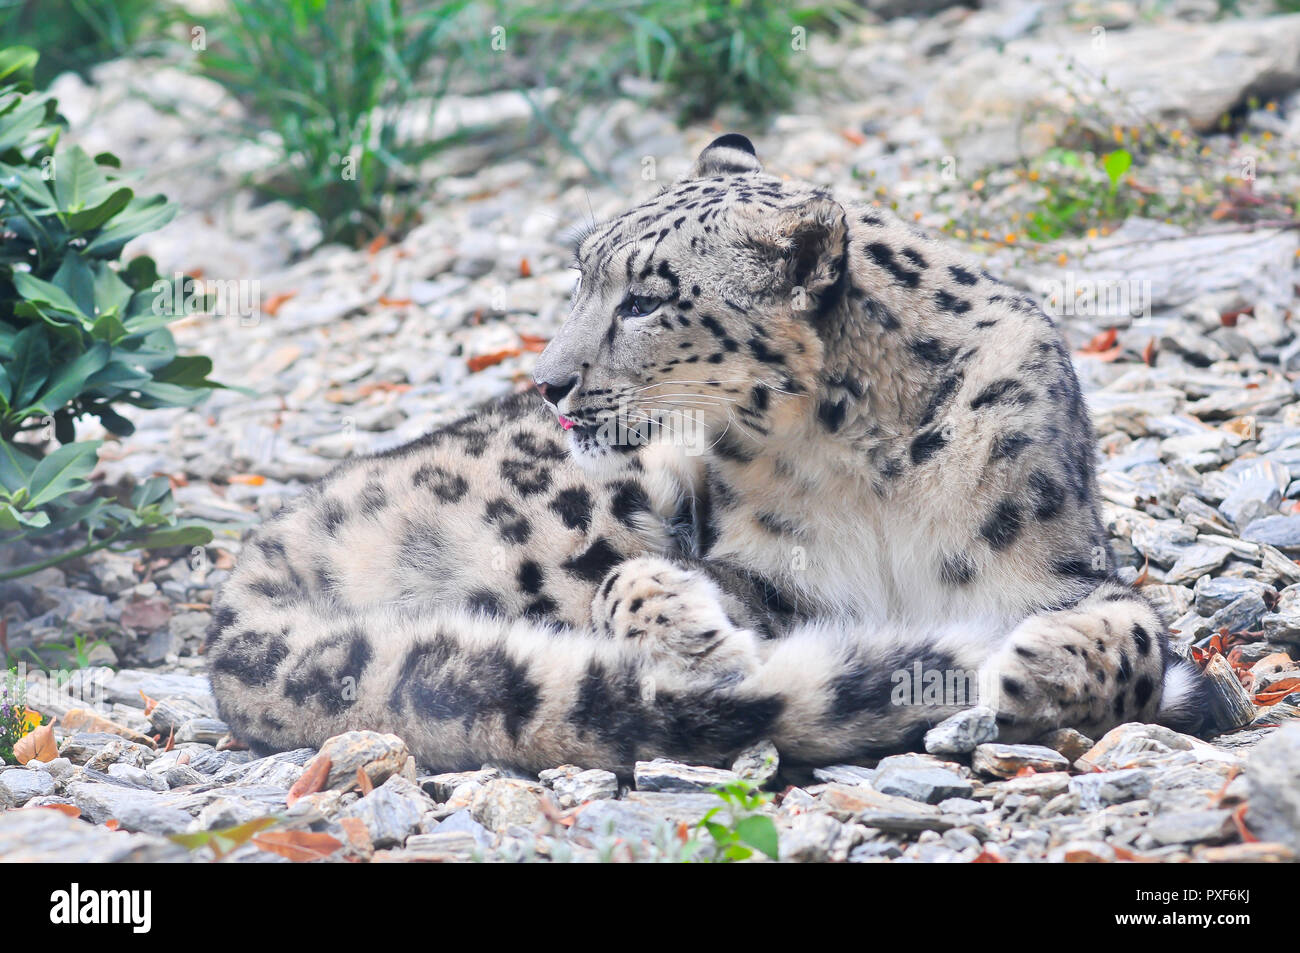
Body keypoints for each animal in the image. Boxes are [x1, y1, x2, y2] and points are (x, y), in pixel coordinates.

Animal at [206, 134, 1210, 774]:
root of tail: (263, 548)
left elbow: (1135, 631)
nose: (549, 380)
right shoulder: (775, 579)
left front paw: (1040, 667)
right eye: (581, 275)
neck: (865, 468)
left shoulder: (1059, 564)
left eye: (647, 299)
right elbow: (649, 585)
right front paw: (693, 635)